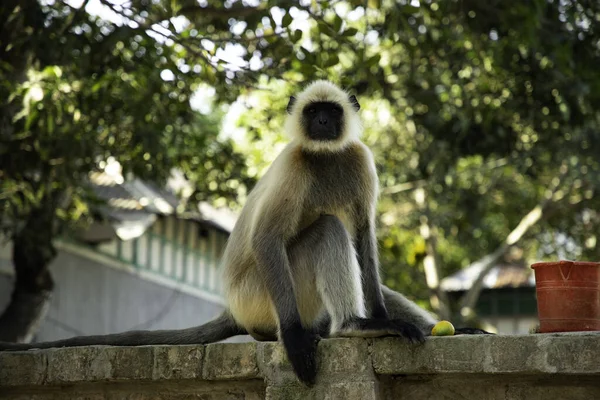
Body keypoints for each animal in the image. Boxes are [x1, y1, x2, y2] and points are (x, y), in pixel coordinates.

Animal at [0, 80, 488, 384]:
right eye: (313, 113)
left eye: (330, 113)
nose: (323, 124)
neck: (325, 156)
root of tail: (235, 307)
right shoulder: (294, 167)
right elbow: (267, 239)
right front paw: (297, 341)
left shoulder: (358, 159)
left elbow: (365, 239)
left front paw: (391, 318)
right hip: (264, 298)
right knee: (326, 230)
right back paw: (352, 327)